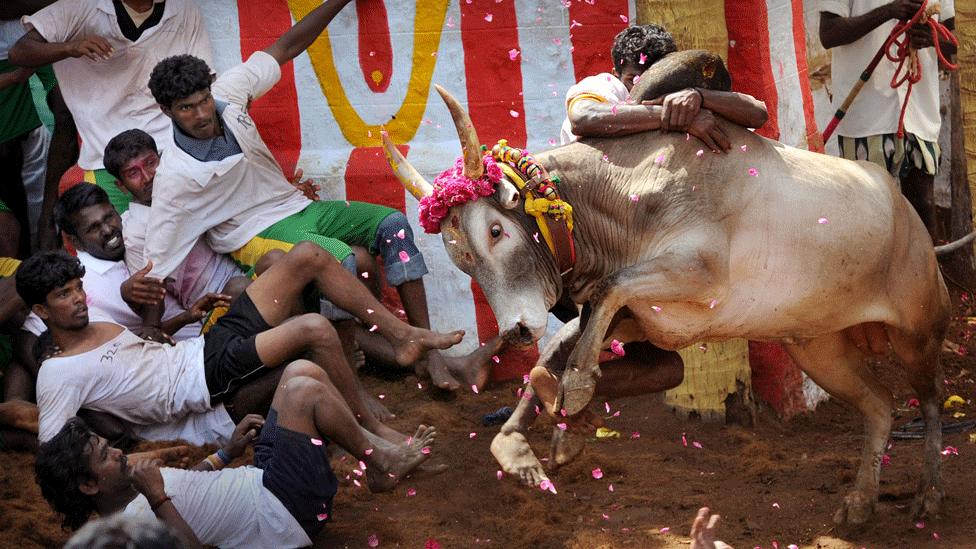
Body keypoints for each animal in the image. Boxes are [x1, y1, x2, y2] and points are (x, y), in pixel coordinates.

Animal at [384, 82, 952, 528]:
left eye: (497, 231)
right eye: (461, 261)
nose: (516, 329)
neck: (625, 198)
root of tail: (908, 213)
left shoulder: (698, 272)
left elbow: (609, 291)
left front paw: (577, 388)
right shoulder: (639, 322)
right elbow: (561, 346)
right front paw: (531, 438)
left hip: (918, 333)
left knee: (926, 401)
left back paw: (929, 493)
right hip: (817, 348)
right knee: (879, 404)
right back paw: (859, 503)